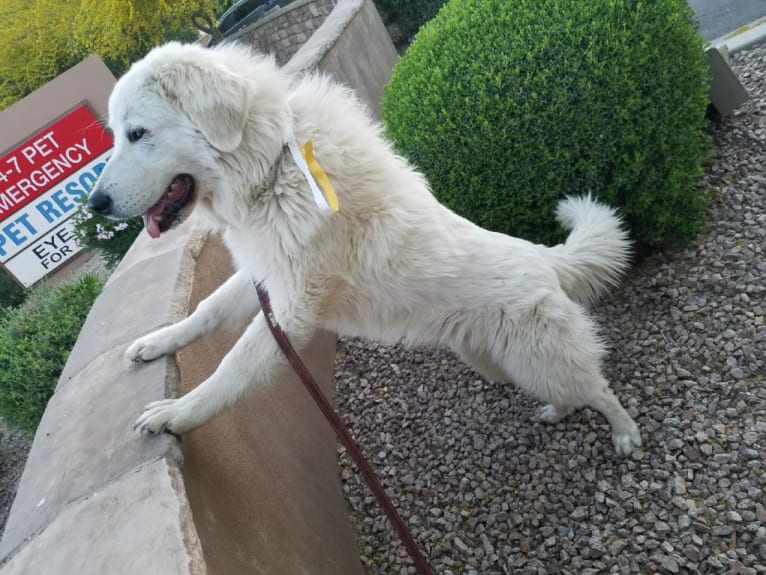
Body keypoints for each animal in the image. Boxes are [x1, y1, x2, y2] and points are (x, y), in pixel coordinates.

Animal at [87, 40, 644, 456]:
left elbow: (233, 369)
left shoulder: (292, 311)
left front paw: (175, 414)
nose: (95, 204)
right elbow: (205, 309)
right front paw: (157, 342)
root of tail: (543, 254)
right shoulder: (266, 278)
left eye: (138, 133)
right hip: (503, 361)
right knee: (572, 393)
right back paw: (556, 412)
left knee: (599, 389)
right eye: (118, 135)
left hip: (537, 357)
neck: (272, 169)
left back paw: (625, 435)